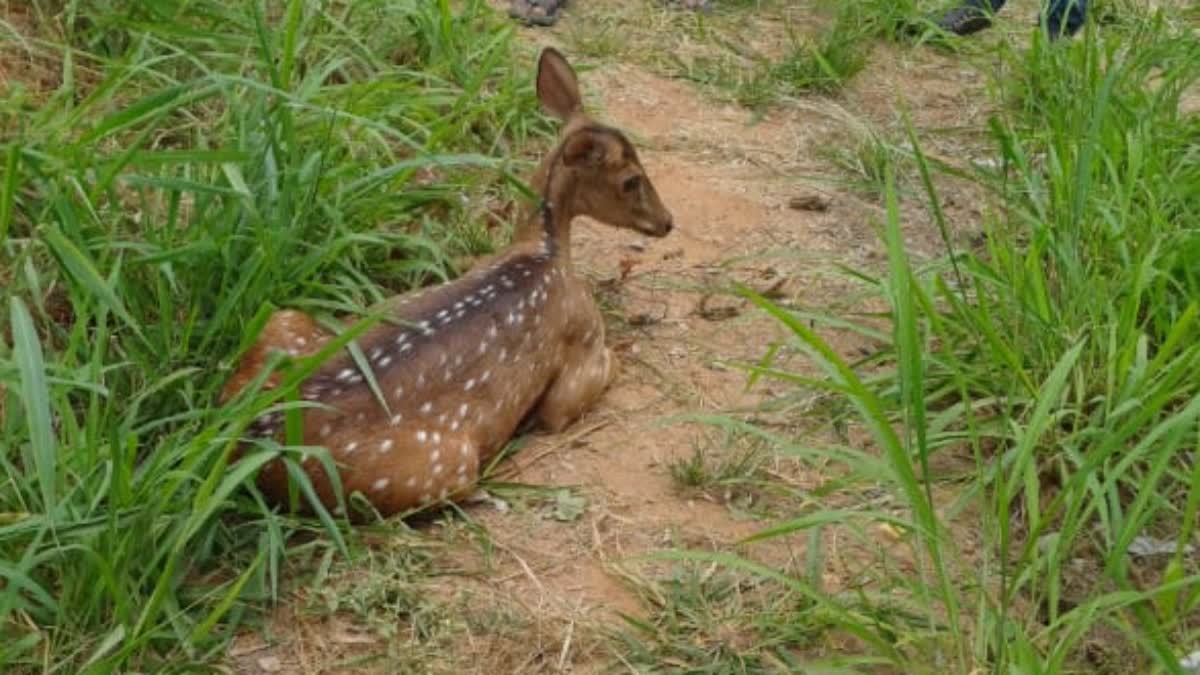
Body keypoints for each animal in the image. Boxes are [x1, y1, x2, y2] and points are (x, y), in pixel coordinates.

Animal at [220, 47, 676, 516]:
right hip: (441, 464)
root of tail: (253, 440)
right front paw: (625, 346)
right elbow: (584, 385)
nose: (667, 222)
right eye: (631, 180)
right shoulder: (579, 347)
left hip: (281, 322)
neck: (544, 250)